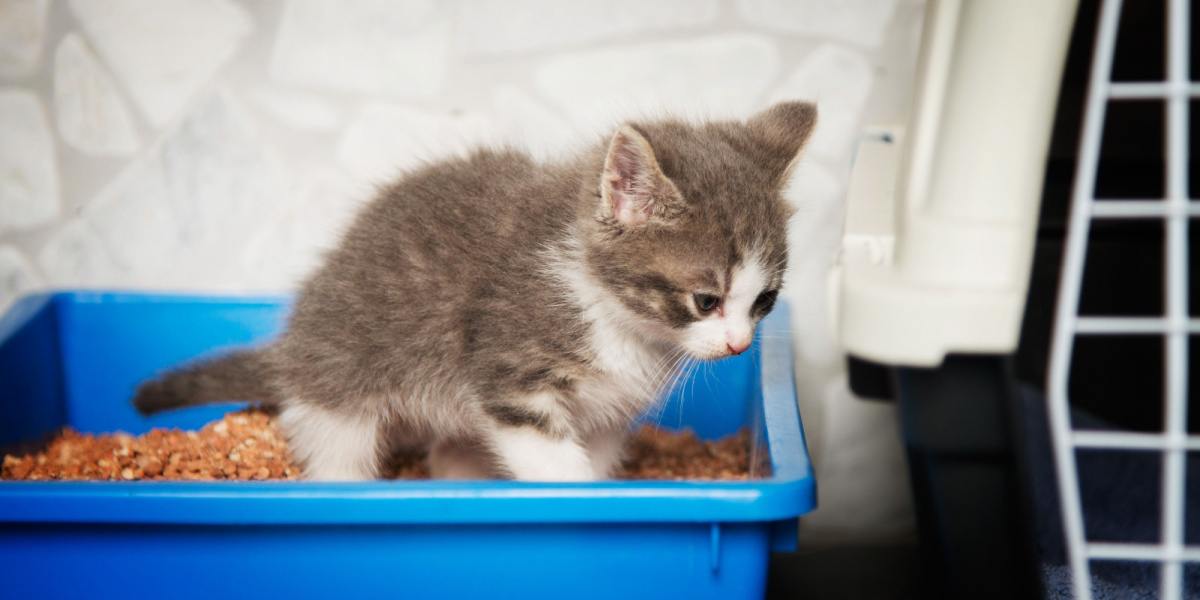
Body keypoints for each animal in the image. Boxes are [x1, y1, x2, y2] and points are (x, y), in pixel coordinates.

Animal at [136, 100, 820, 480]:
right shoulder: (509, 371)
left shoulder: (608, 412)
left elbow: (596, 454)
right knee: (336, 444)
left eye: (764, 302)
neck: (615, 316)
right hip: (340, 375)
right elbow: (553, 459)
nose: (738, 345)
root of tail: (295, 339)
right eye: (705, 300)